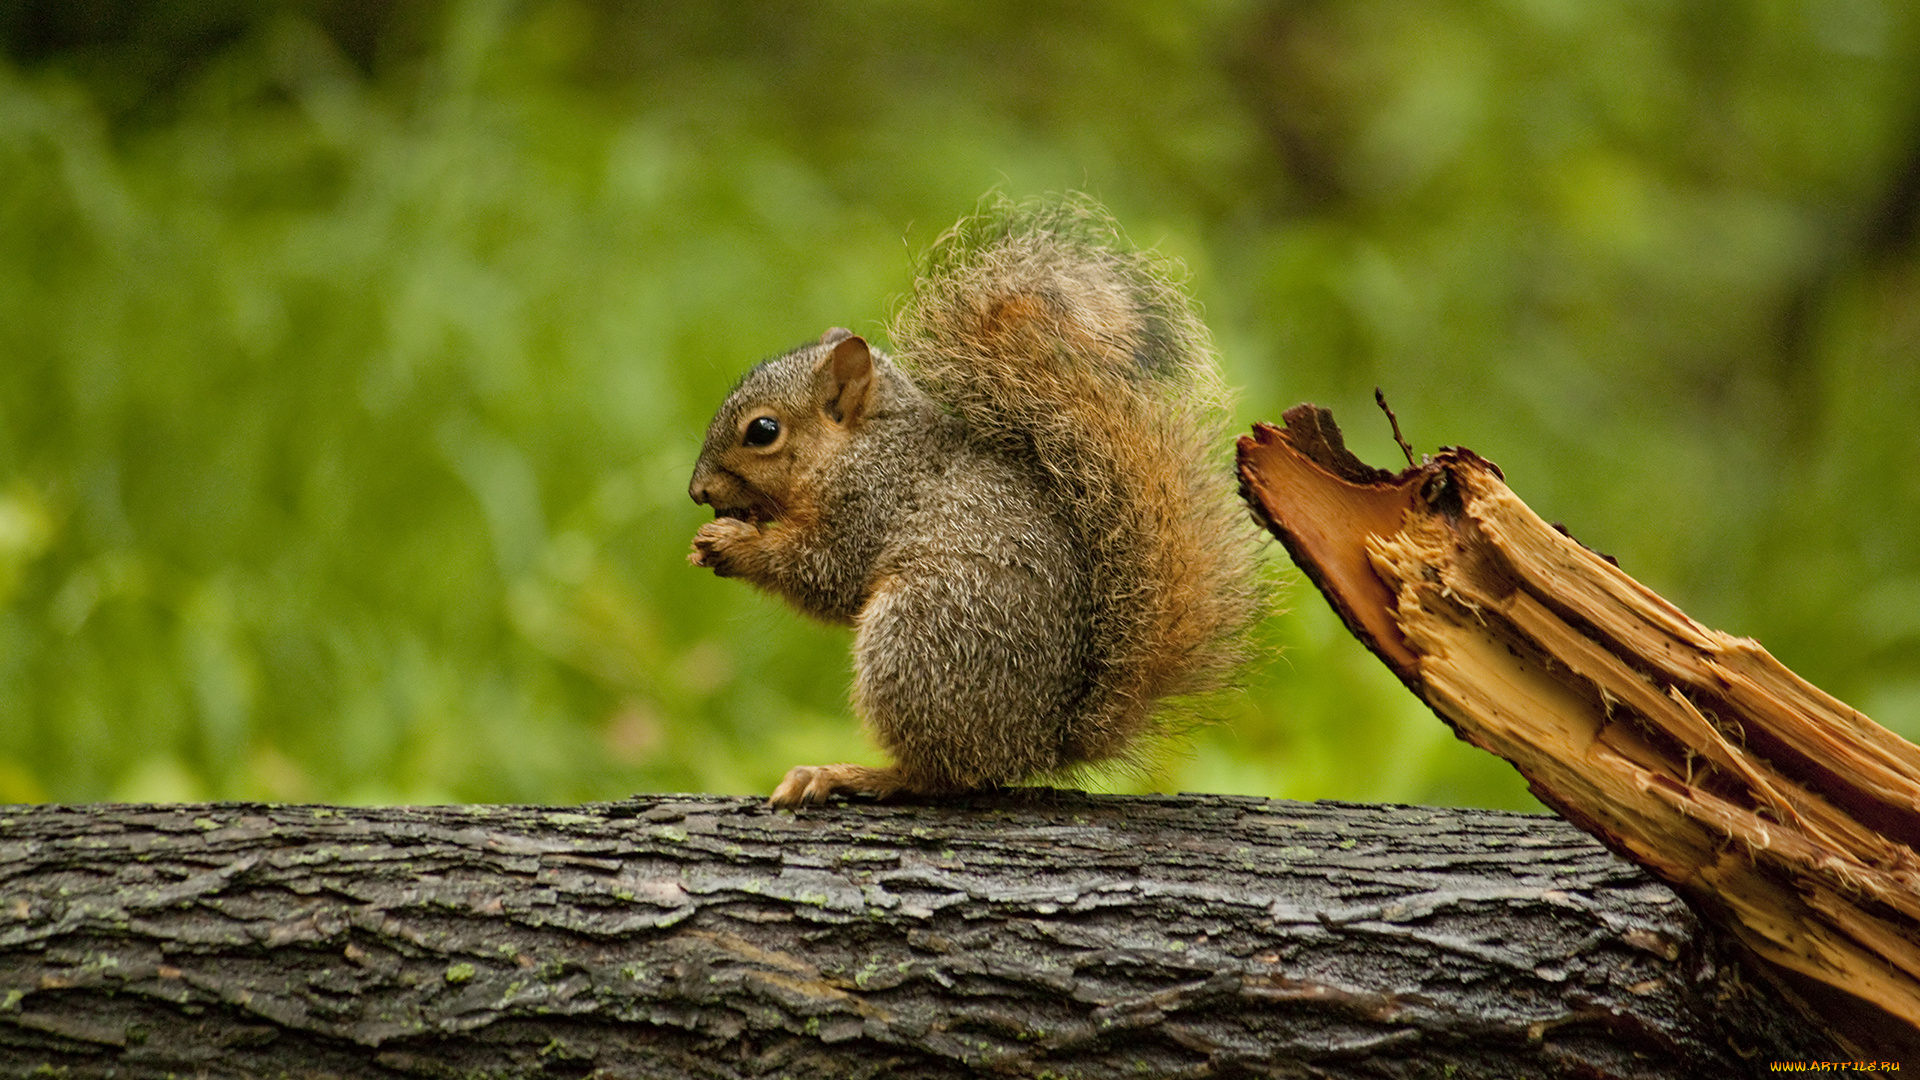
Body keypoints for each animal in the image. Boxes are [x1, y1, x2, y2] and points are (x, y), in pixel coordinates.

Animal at [683, 193, 1267, 803]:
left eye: (763, 431)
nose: (697, 492)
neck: (866, 443)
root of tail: (1036, 746)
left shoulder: (872, 504)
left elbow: (823, 571)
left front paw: (731, 543)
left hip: (916, 640)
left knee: (939, 775)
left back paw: (847, 774)